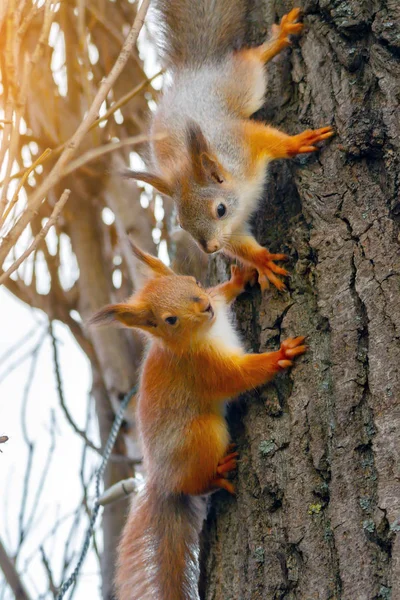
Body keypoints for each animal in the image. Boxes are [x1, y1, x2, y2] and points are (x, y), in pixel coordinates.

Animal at [90, 244, 306, 600]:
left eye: (192, 281)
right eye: (170, 320)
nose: (204, 307)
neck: (205, 330)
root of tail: (161, 480)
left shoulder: (214, 303)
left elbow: (222, 294)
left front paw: (241, 276)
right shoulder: (203, 368)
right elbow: (240, 376)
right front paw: (280, 355)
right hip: (202, 434)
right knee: (196, 483)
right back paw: (218, 473)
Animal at [125, 0, 334, 290]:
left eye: (220, 210)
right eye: (182, 223)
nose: (211, 248)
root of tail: (194, 71)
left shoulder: (242, 144)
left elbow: (270, 140)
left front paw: (298, 141)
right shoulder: (232, 230)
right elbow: (240, 245)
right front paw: (262, 262)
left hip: (239, 84)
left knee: (250, 60)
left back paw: (276, 40)